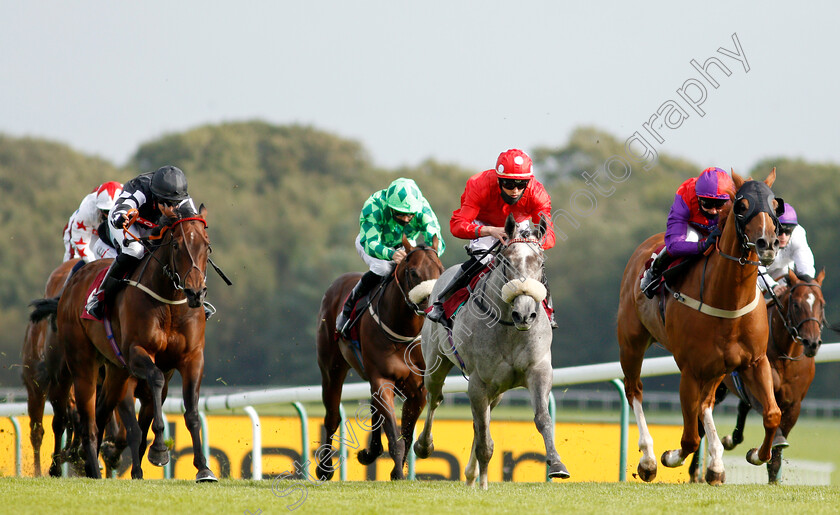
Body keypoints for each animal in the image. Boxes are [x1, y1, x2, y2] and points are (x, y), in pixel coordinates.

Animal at [30, 208, 217, 482]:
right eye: (176, 245)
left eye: (206, 245)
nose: (195, 293)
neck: (169, 304)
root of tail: (72, 283)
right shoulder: (136, 355)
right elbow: (152, 388)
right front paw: (158, 450)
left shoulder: (192, 358)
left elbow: (190, 412)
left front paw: (203, 468)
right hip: (79, 365)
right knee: (80, 420)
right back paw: (82, 466)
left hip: (114, 372)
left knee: (100, 412)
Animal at [316, 236, 446, 482]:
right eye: (413, 272)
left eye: (441, 270)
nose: (431, 308)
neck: (404, 332)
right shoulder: (382, 378)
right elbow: (395, 436)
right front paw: (398, 474)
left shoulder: (418, 389)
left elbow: (405, 434)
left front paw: (397, 470)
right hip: (332, 369)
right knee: (332, 417)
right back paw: (324, 468)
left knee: (374, 409)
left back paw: (370, 452)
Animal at [414, 216, 572, 490]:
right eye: (507, 261)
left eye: (540, 262)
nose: (525, 313)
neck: (510, 328)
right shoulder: (479, 382)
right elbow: (484, 436)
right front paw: (484, 482)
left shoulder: (538, 370)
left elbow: (542, 417)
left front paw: (556, 464)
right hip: (436, 364)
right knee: (435, 399)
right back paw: (425, 446)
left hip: (498, 391)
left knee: (481, 417)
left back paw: (470, 474)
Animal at [616, 171, 788, 486]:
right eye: (742, 205)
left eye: (775, 205)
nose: (767, 244)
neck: (727, 299)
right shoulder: (690, 370)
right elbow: (689, 439)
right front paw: (669, 457)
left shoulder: (755, 361)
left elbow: (772, 413)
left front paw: (756, 454)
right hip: (631, 342)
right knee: (634, 390)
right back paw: (648, 459)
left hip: (719, 367)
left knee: (706, 403)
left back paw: (717, 464)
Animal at [688, 270, 828, 484]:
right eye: (796, 304)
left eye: (822, 304)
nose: (812, 343)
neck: (785, 356)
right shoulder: (757, 392)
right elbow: (774, 428)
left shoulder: (794, 404)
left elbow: (777, 443)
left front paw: (773, 478)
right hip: (718, 386)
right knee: (701, 419)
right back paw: (695, 470)